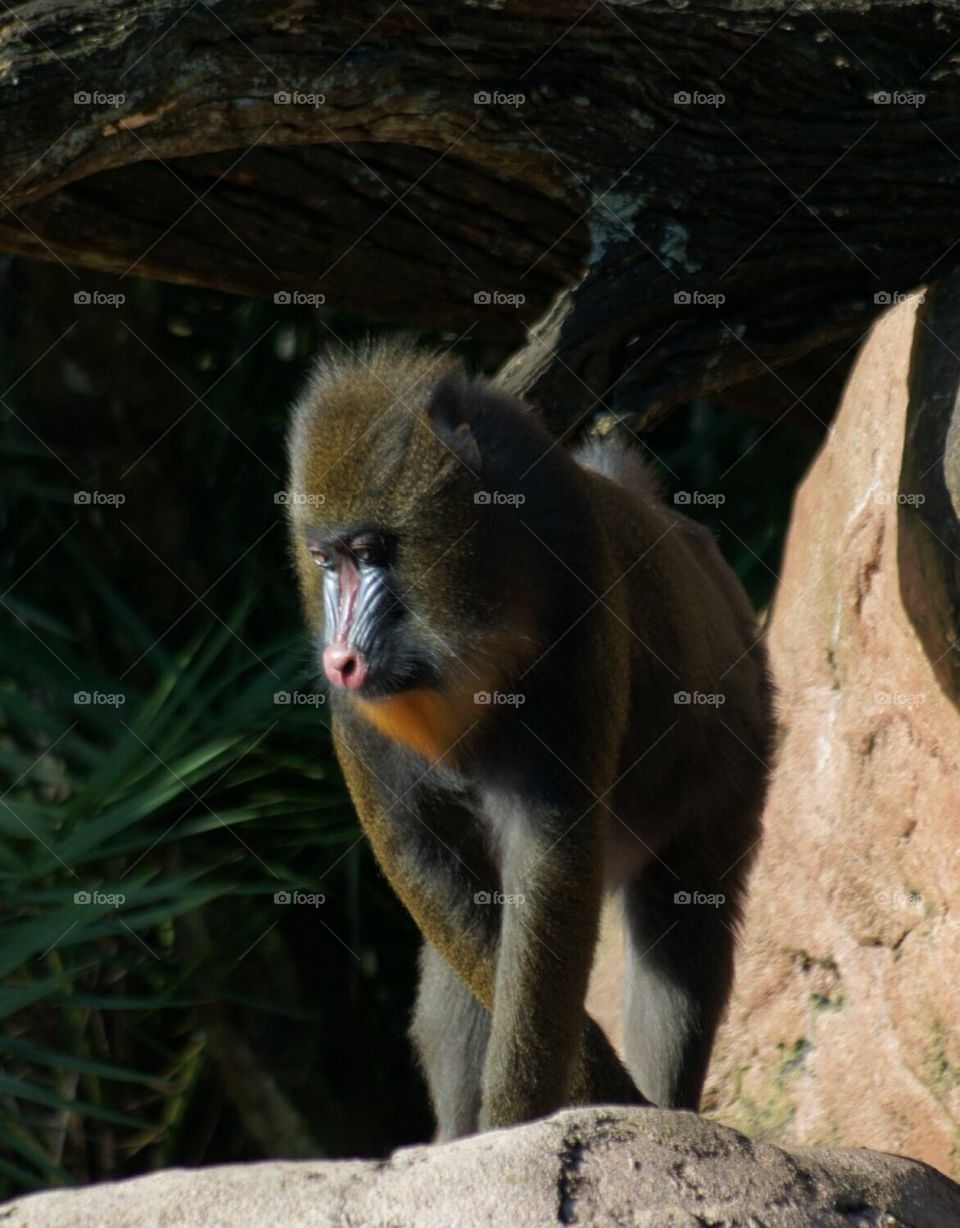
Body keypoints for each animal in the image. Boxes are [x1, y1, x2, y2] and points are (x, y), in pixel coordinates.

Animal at [286, 338, 773, 1139]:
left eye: (372, 550)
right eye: (328, 562)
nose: (341, 660)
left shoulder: (579, 620)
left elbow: (551, 872)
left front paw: (533, 1116)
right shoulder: (366, 735)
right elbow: (437, 880)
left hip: (735, 757)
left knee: (683, 932)